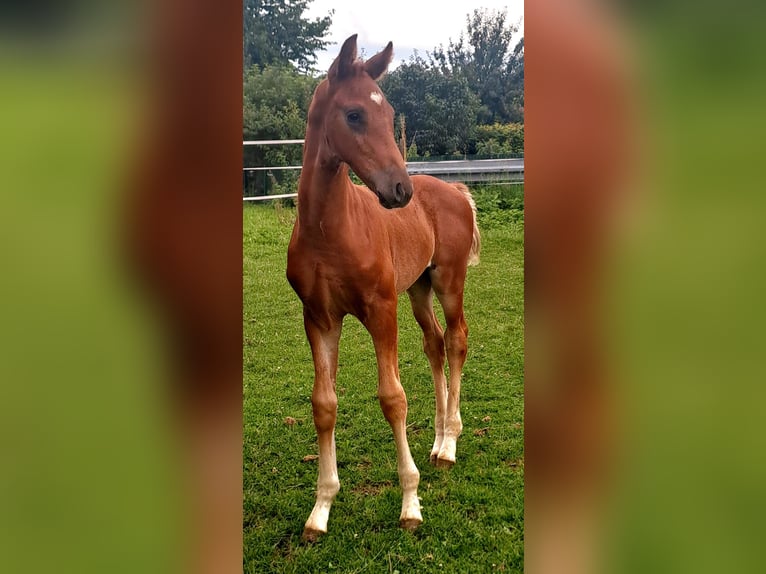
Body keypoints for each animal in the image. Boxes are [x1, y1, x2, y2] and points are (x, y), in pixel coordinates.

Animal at [288, 35, 480, 540]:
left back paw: (450, 444)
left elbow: (393, 398)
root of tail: (457, 191)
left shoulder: (380, 310)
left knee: (456, 339)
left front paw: (410, 504)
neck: (330, 230)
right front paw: (321, 509)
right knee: (435, 343)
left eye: (390, 112)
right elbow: (324, 404)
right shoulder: (319, 318)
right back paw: (437, 441)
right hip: (418, 290)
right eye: (354, 114)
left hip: (449, 281)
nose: (400, 190)